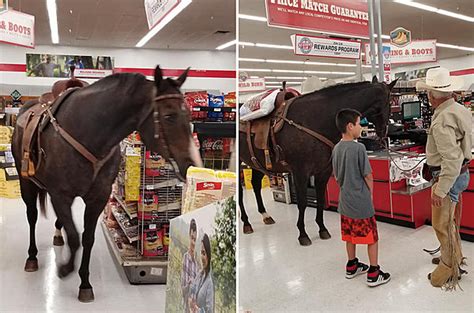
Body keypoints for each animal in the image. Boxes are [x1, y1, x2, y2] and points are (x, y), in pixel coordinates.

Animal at [10, 65, 200, 300]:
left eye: (189, 114)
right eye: (169, 116)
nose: (191, 165)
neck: (90, 133)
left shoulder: (97, 198)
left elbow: (87, 239)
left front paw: (84, 283)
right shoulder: (60, 195)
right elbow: (75, 237)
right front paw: (65, 269)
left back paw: (57, 235)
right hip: (25, 181)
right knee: (32, 216)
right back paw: (32, 256)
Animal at [237, 77, 396, 245]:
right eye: (390, 102)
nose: (384, 133)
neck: (314, 120)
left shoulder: (324, 172)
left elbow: (320, 199)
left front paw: (322, 229)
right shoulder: (300, 172)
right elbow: (302, 203)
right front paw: (302, 234)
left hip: (257, 162)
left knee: (255, 185)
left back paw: (265, 215)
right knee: (240, 193)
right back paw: (246, 223)